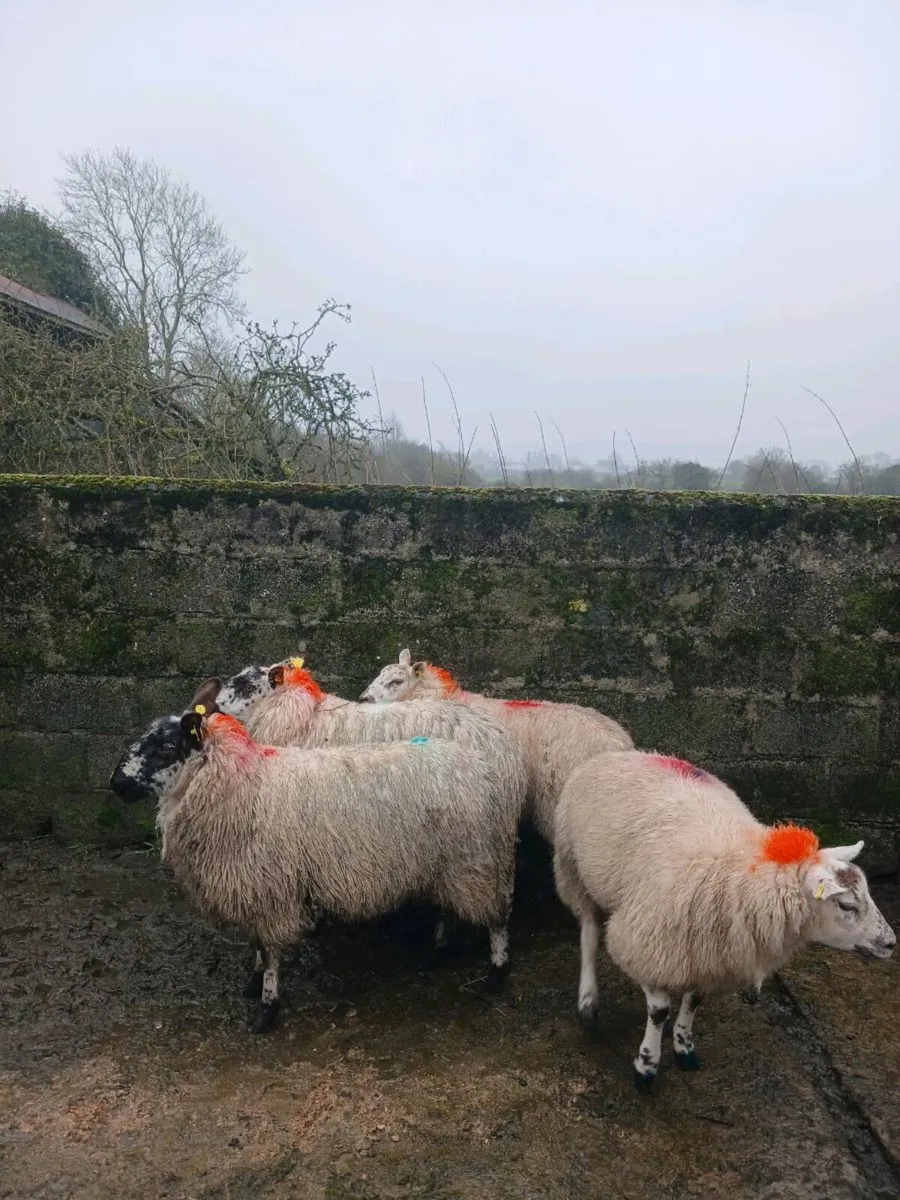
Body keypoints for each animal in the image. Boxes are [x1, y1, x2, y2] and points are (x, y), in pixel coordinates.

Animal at [109, 703, 521, 1034]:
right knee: (448, 909)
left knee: (499, 918)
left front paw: (266, 1009)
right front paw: (253, 983)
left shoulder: (270, 890)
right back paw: (435, 954)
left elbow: (270, 953)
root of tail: (485, 767)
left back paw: (496, 972)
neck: (241, 785)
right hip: (450, 864)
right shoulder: (253, 886)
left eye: (165, 747)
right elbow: (256, 943)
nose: (116, 784)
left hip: (478, 859)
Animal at [552, 750, 896, 1090]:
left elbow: (694, 1001)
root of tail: (620, 752)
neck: (744, 877)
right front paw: (647, 1066)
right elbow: (660, 1011)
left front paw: (684, 1047)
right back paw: (588, 1001)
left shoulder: (710, 953)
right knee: (589, 932)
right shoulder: (643, 944)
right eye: (847, 905)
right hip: (573, 867)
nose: (891, 943)